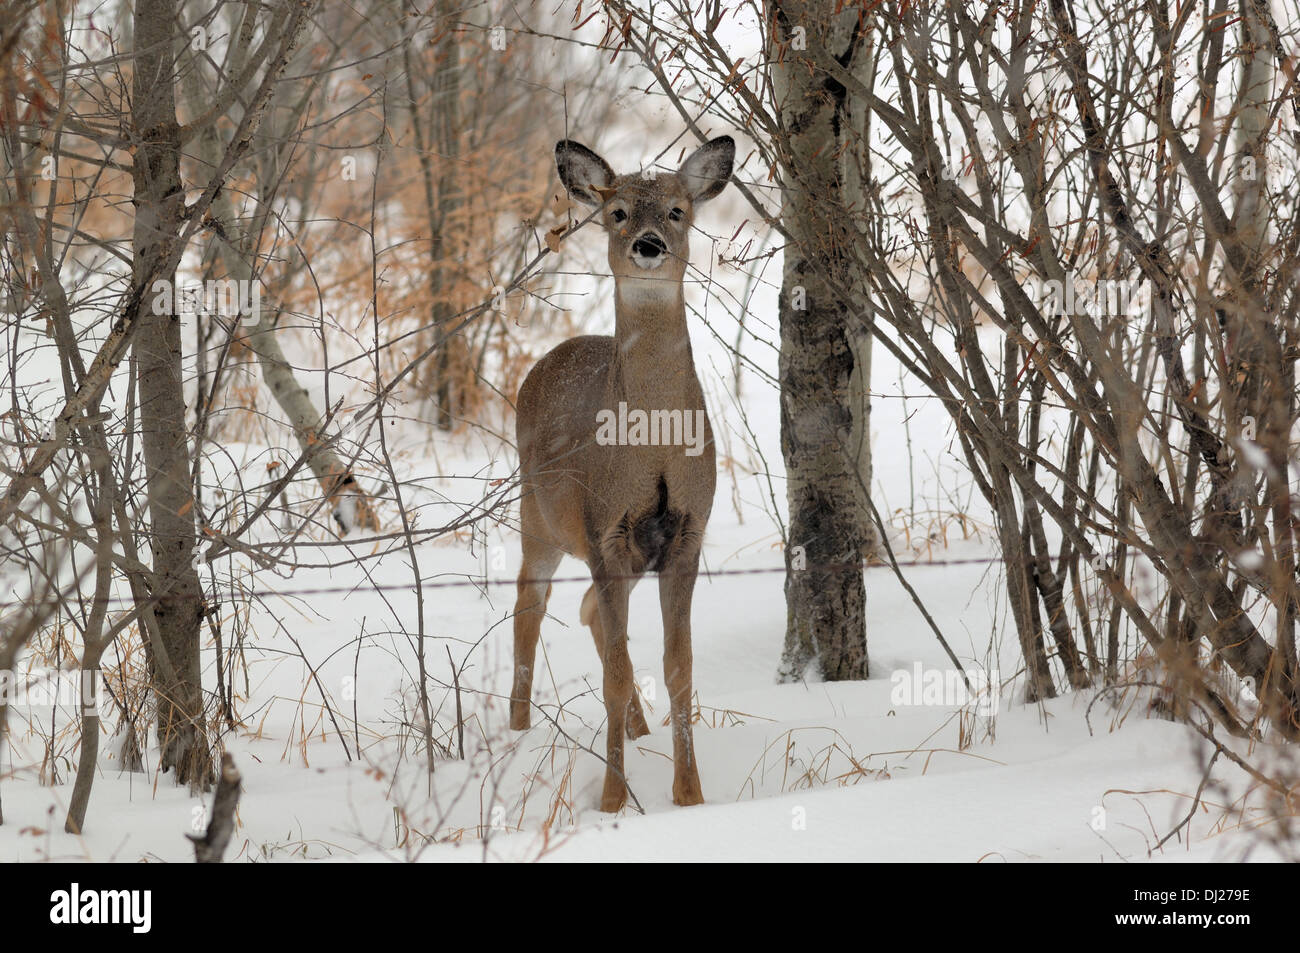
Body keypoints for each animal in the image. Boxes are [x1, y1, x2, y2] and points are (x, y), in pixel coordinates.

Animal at [506, 133, 733, 811]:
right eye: (618, 212)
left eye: (679, 210)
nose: (649, 244)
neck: (652, 448)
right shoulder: (605, 528)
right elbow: (613, 671)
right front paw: (611, 800)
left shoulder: (685, 534)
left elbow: (676, 666)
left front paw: (689, 795)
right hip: (539, 516)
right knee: (530, 604)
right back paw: (516, 732)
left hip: (622, 554)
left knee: (591, 618)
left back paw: (638, 728)